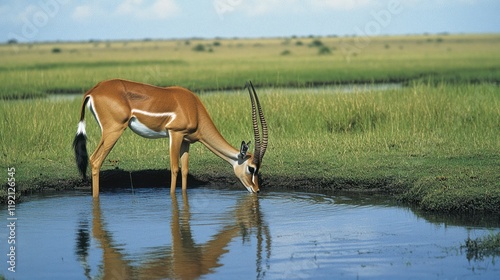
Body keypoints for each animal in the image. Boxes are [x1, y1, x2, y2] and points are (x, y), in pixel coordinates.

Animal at [72, 79, 268, 197]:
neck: (193, 107)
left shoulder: (187, 142)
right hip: (113, 131)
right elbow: (174, 169)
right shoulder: (175, 134)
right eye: (251, 168)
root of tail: (93, 90)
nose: (257, 189)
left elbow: (185, 170)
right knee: (95, 160)